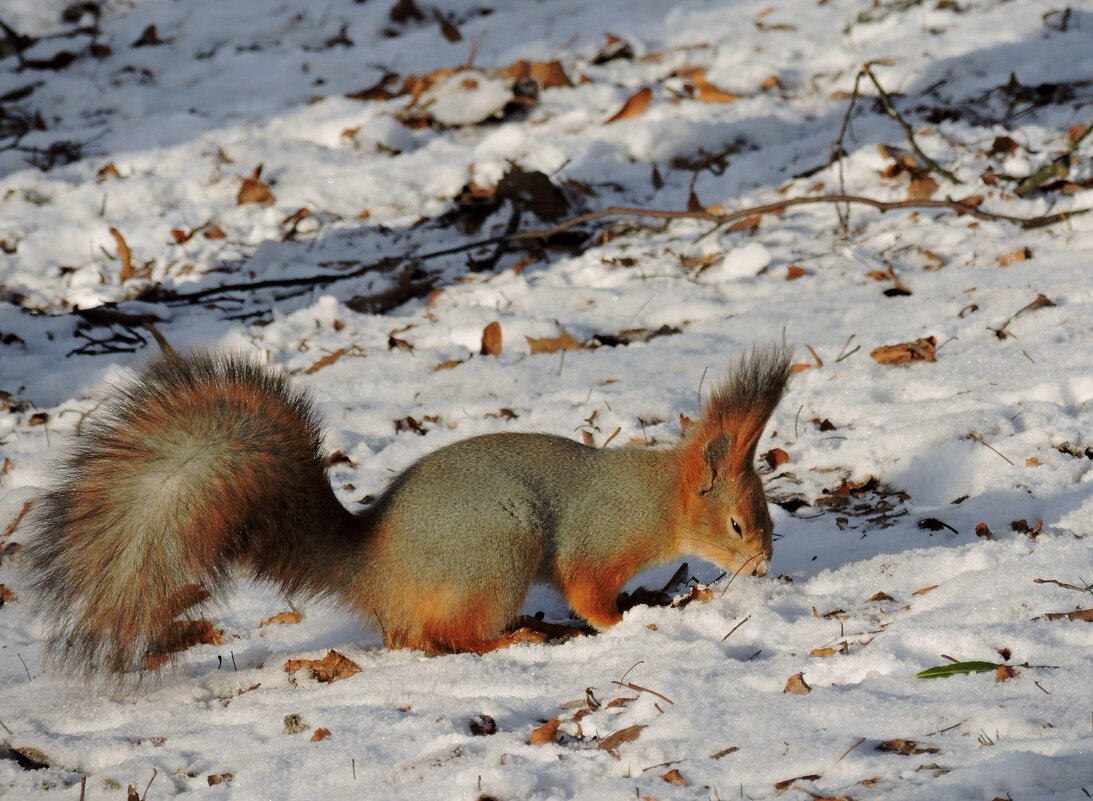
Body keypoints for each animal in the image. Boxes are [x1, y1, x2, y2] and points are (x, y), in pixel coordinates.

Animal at [23, 345, 795, 681]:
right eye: (736, 523)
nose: (763, 562)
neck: (654, 498)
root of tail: (373, 567)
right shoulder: (597, 540)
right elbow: (587, 589)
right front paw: (627, 618)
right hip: (496, 548)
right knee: (445, 638)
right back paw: (518, 636)